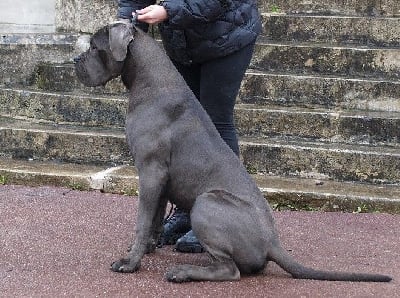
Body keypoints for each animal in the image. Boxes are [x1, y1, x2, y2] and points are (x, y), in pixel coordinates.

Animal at [74, 22, 390, 282]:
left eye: (95, 47)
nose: (75, 60)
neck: (148, 80)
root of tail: (272, 243)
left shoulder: (150, 171)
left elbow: (142, 221)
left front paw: (130, 262)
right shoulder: (160, 178)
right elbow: (154, 219)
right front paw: (148, 248)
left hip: (206, 202)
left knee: (230, 270)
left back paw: (182, 272)